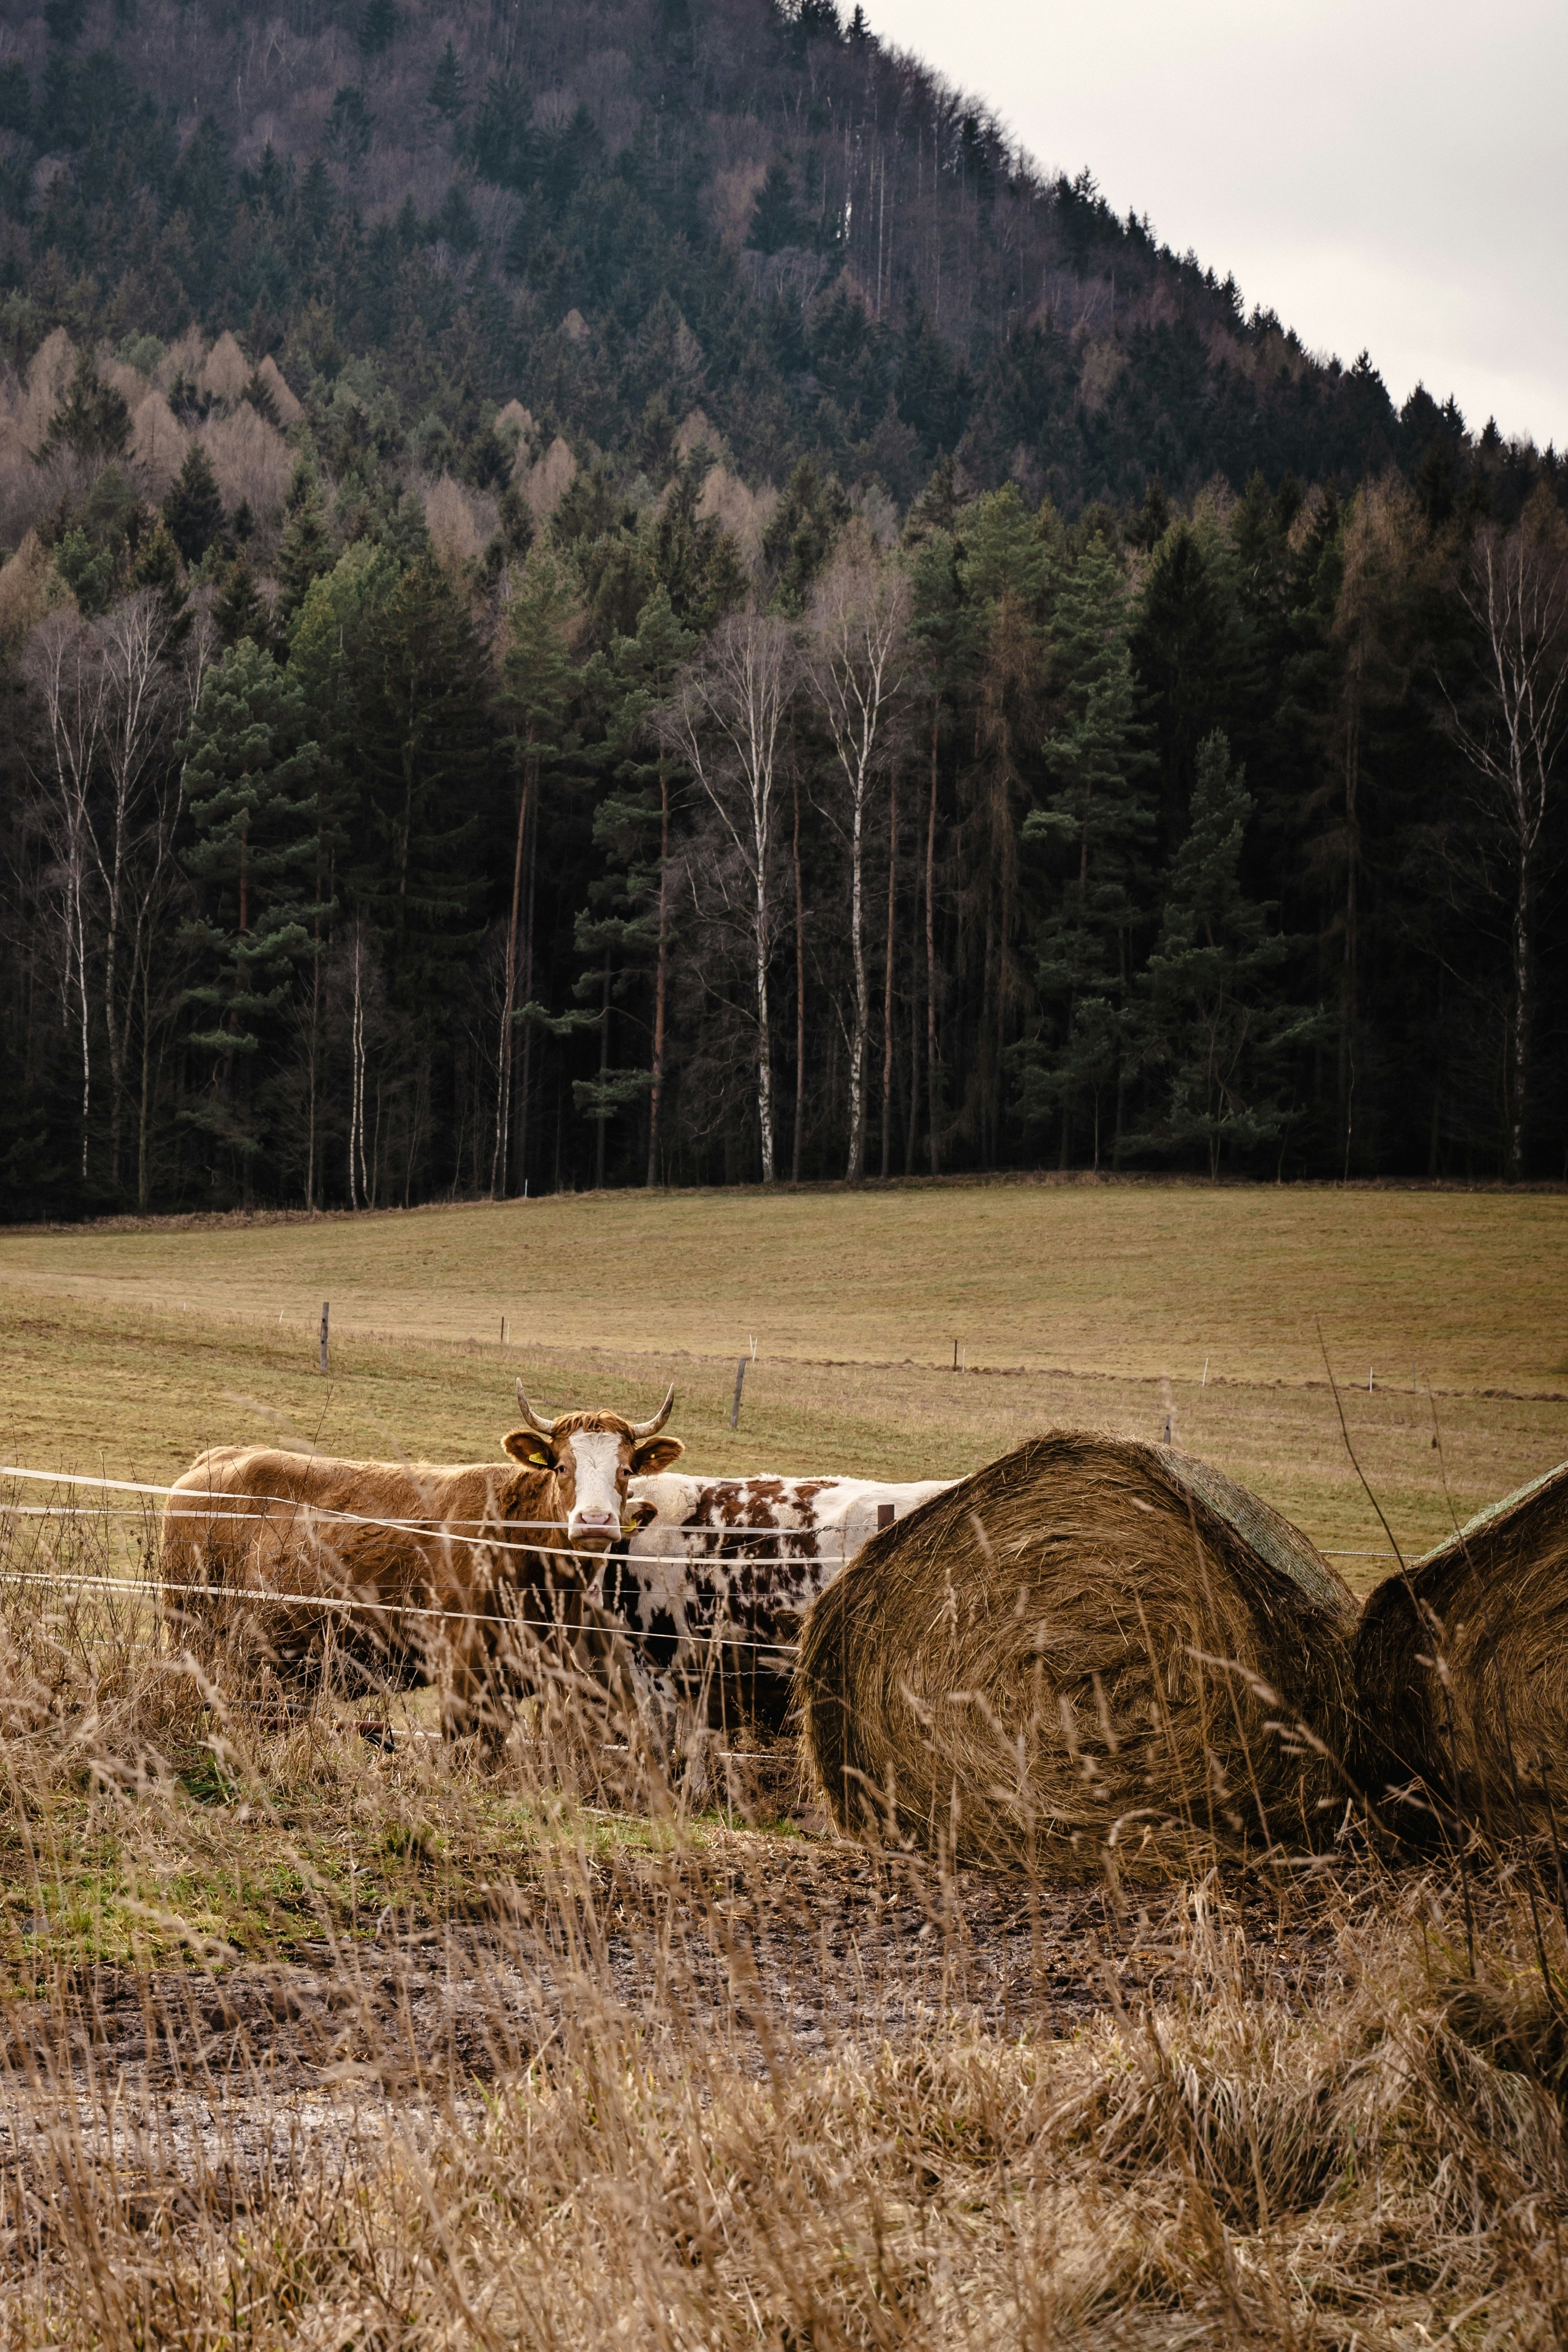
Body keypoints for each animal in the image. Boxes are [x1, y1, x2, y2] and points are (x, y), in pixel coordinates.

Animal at [160, 1384, 683, 1735]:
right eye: (560, 1467)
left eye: (626, 1470)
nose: (595, 1521)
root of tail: (214, 1460)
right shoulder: (463, 1672)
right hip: (193, 1630)